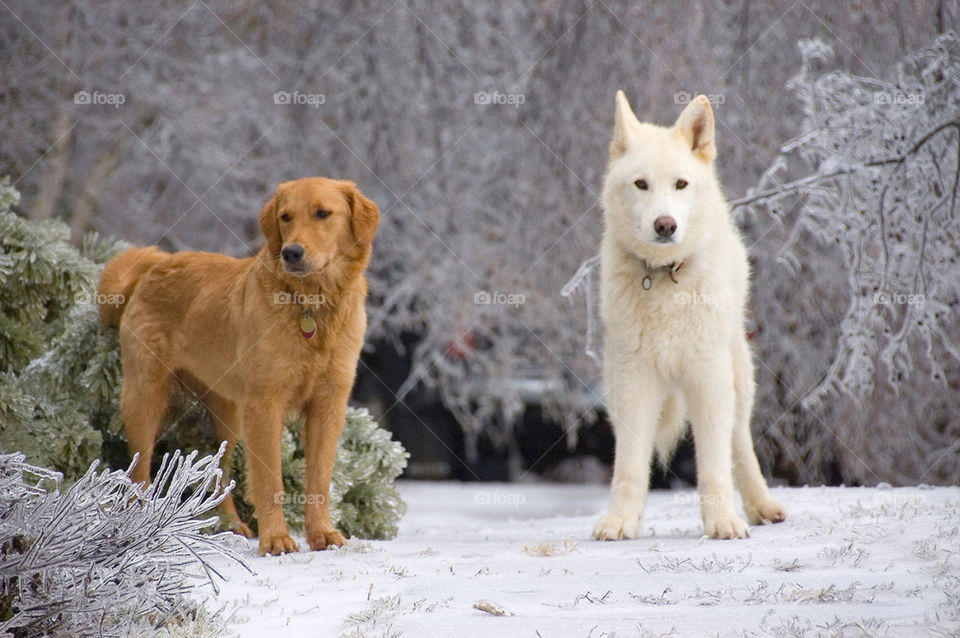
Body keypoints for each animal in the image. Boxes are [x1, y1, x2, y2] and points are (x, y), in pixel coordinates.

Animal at [98, 179, 378, 556]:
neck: (311, 306)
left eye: (323, 213)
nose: (291, 253)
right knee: (138, 472)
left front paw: (321, 534)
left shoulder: (329, 404)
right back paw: (138, 524)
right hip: (145, 397)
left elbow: (319, 477)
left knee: (221, 473)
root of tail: (154, 268)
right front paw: (276, 539)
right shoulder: (265, 405)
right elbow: (269, 480)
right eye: (286, 217)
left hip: (228, 416)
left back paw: (230, 524)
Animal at [592, 91, 788, 540]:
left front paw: (722, 523)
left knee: (739, 443)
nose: (665, 225)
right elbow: (629, 467)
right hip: (613, 384)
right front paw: (621, 521)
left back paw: (760, 507)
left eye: (681, 184)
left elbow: (714, 466)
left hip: (737, 378)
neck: (666, 277)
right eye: (641, 184)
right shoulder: (635, 384)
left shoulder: (708, 378)